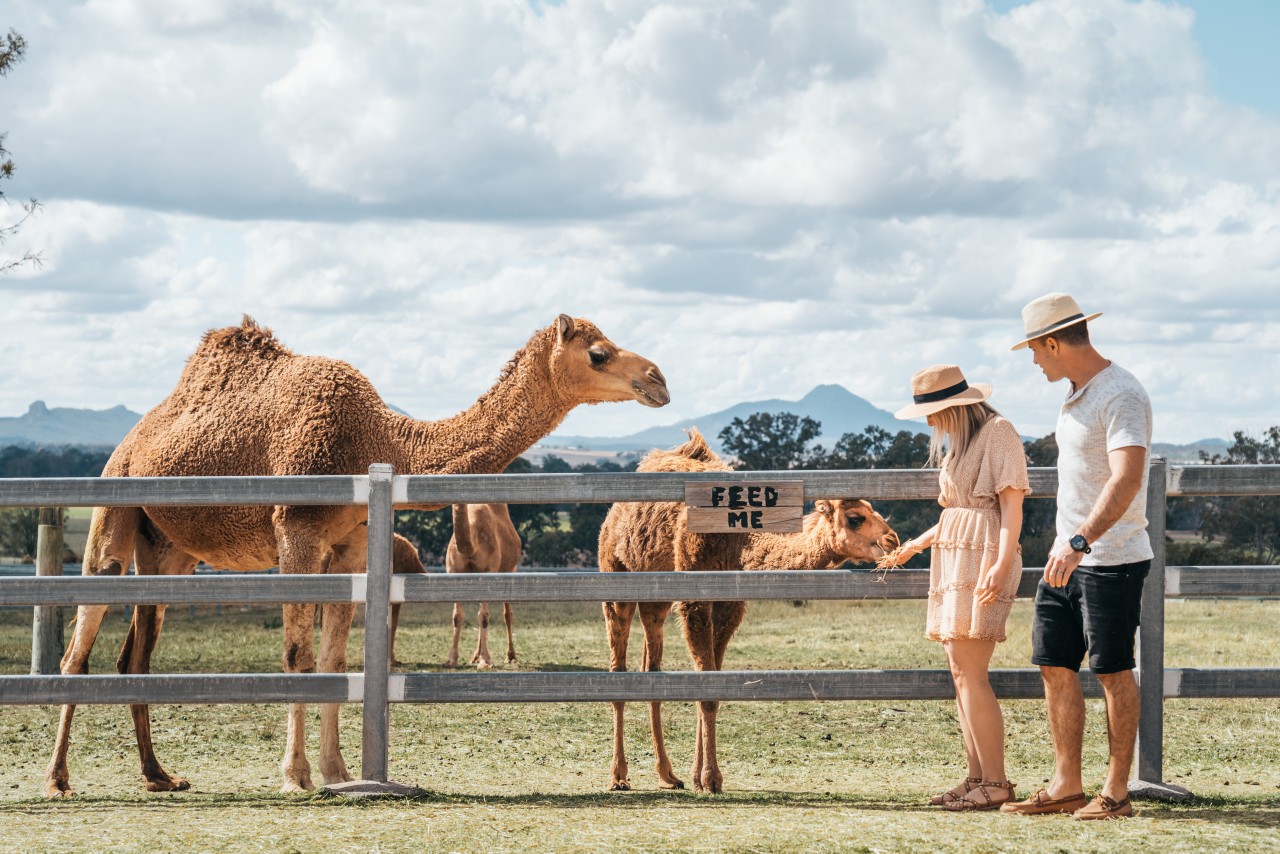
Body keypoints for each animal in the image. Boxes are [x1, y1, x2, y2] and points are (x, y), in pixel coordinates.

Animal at [442, 504, 517, 670]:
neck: (472, 547)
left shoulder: (489, 569)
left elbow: (484, 616)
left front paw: (485, 661)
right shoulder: (453, 571)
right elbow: (457, 616)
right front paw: (451, 660)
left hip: (510, 569)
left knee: (507, 613)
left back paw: (510, 656)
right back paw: (475, 656)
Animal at [599, 430, 901, 798]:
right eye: (855, 518)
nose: (892, 539)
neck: (737, 541)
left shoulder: (730, 604)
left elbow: (712, 683)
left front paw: (699, 776)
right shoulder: (694, 600)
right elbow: (707, 691)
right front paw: (711, 778)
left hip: (656, 598)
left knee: (650, 667)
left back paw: (668, 775)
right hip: (615, 576)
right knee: (618, 666)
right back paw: (618, 776)